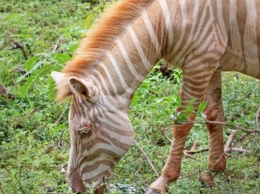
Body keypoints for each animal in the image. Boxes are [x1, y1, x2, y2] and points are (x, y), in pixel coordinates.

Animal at [51, 0, 260, 193]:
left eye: (84, 131)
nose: (76, 188)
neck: (165, 23)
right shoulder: (212, 64)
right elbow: (214, 117)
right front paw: (212, 172)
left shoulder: (200, 63)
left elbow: (182, 123)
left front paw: (163, 181)